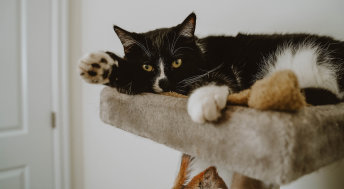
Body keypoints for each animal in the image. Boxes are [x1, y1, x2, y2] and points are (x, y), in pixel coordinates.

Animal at [79, 12, 344, 123]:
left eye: (177, 61)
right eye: (147, 66)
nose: (164, 82)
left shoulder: (221, 67)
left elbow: (215, 77)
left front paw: (202, 102)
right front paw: (100, 65)